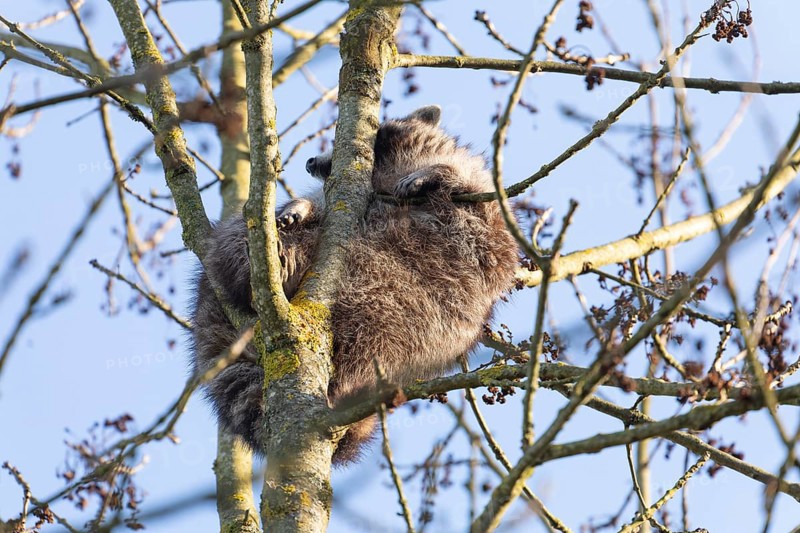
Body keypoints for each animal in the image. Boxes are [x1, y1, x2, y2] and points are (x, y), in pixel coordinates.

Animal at [190, 105, 519, 464]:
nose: (310, 162)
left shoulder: (488, 218)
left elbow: (475, 203)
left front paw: (437, 172)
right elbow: (315, 207)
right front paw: (300, 206)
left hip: (417, 324)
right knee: (242, 234)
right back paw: (267, 262)